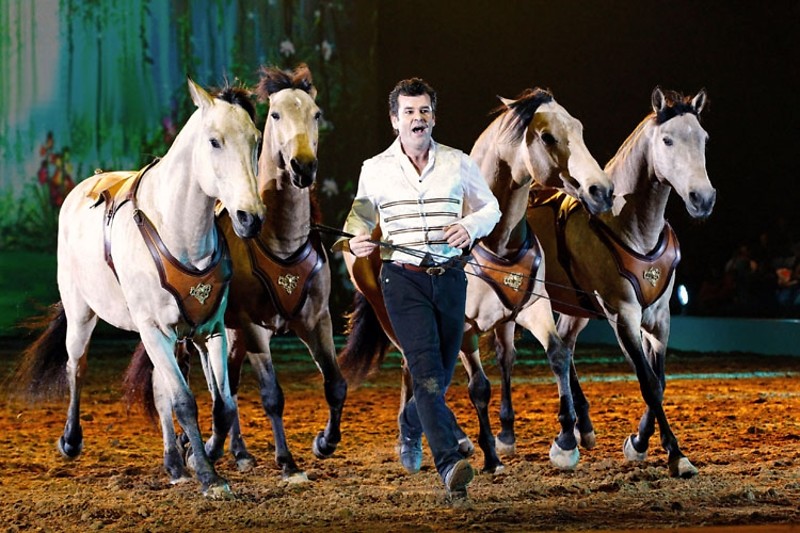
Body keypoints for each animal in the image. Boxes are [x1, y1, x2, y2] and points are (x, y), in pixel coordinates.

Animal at [11, 79, 265, 498]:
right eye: (214, 141)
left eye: (257, 140)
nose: (250, 218)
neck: (177, 230)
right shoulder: (154, 329)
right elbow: (184, 402)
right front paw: (209, 477)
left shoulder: (209, 330)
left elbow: (222, 404)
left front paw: (197, 459)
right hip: (83, 315)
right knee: (76, 365)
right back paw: (71, 440)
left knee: (162, 391)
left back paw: (174, 463)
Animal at [123, 64, 346, 482]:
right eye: (275, 115)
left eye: (316, 114)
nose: (302, 166)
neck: (279, 241)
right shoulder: (252, 327)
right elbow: (271, 395)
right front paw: (286, 461)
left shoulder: (316, 320)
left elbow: (335, 384)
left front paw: (323, 443)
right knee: (189, 388)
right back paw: (188, 454)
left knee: (226, 385)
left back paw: (237, 451)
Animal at [515, 87, 713, 477]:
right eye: (667, 140)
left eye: (703, 139)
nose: (703, 198)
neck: (629, 227)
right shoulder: (623, 316)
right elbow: (648, 382)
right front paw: (675, 455)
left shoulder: (660, 317)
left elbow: (659, 382)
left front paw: (639, 442)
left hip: (574, 307)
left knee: (565, 348)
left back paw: (581, 429)